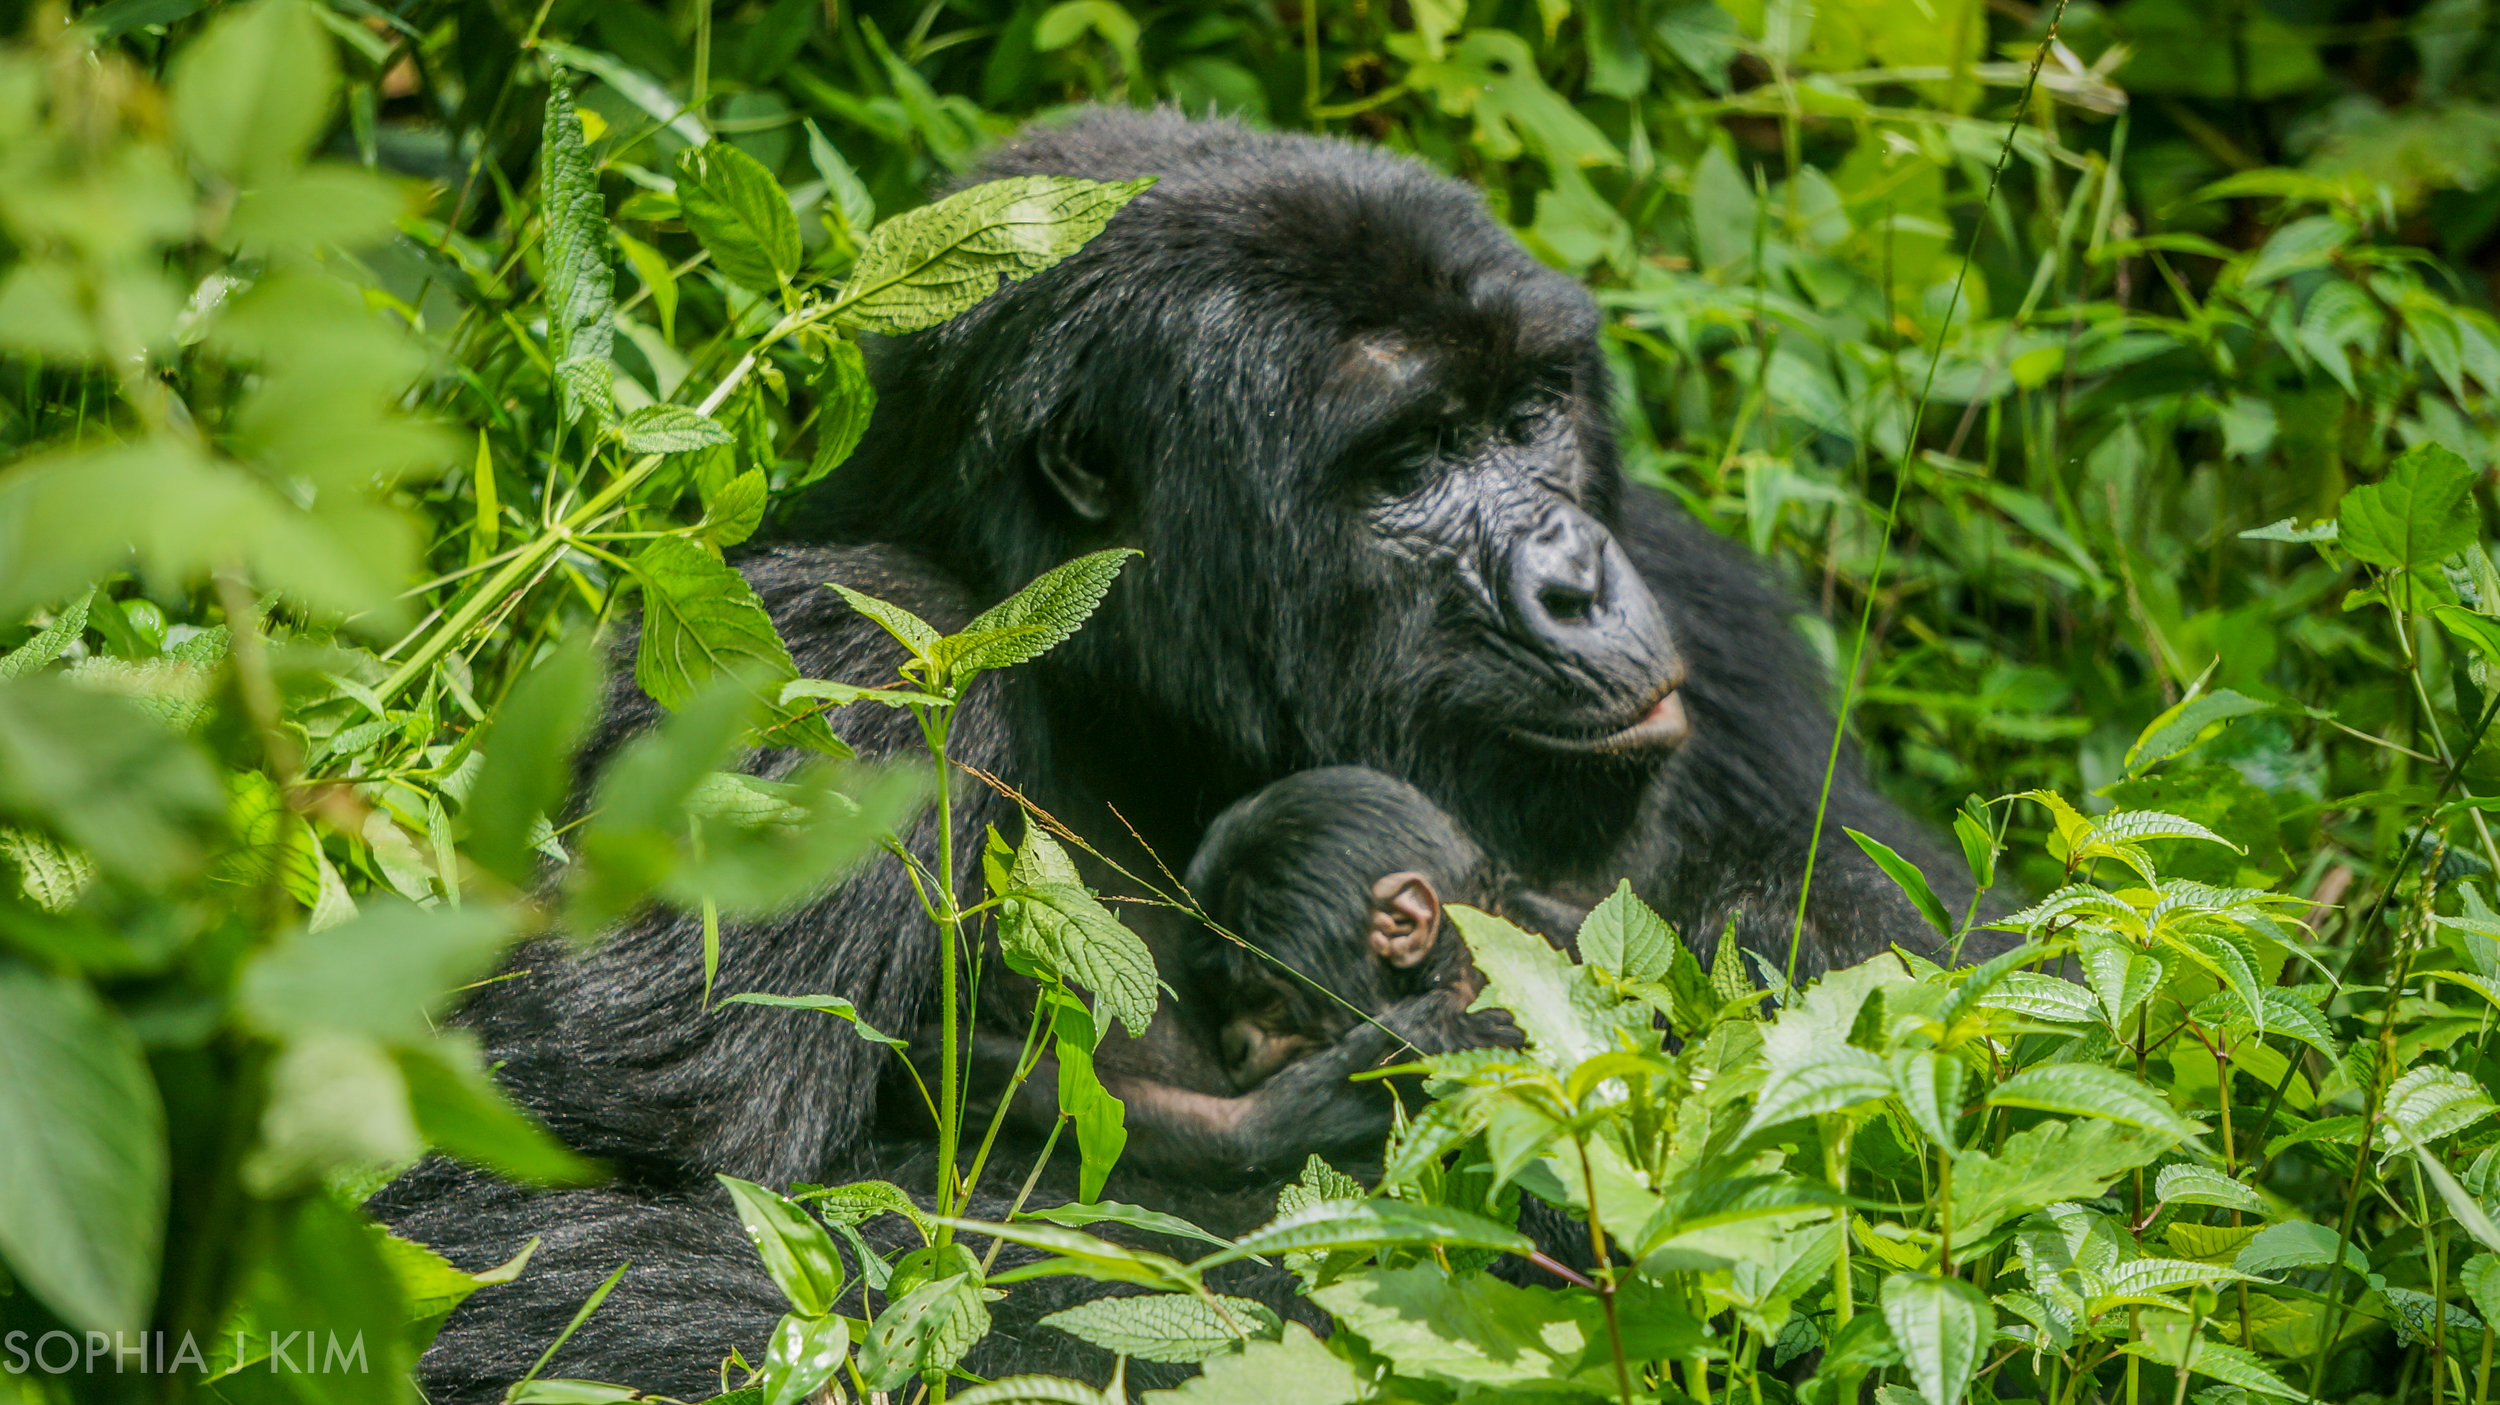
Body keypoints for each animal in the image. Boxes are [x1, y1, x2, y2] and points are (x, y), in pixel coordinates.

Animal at [375, 111, 1970, 1400]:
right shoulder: (832, 664)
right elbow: (563, 1206)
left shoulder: (1710, 607)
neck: (1134, 703)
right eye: (1409, 466)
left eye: (1530, 418)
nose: (1575, 578)